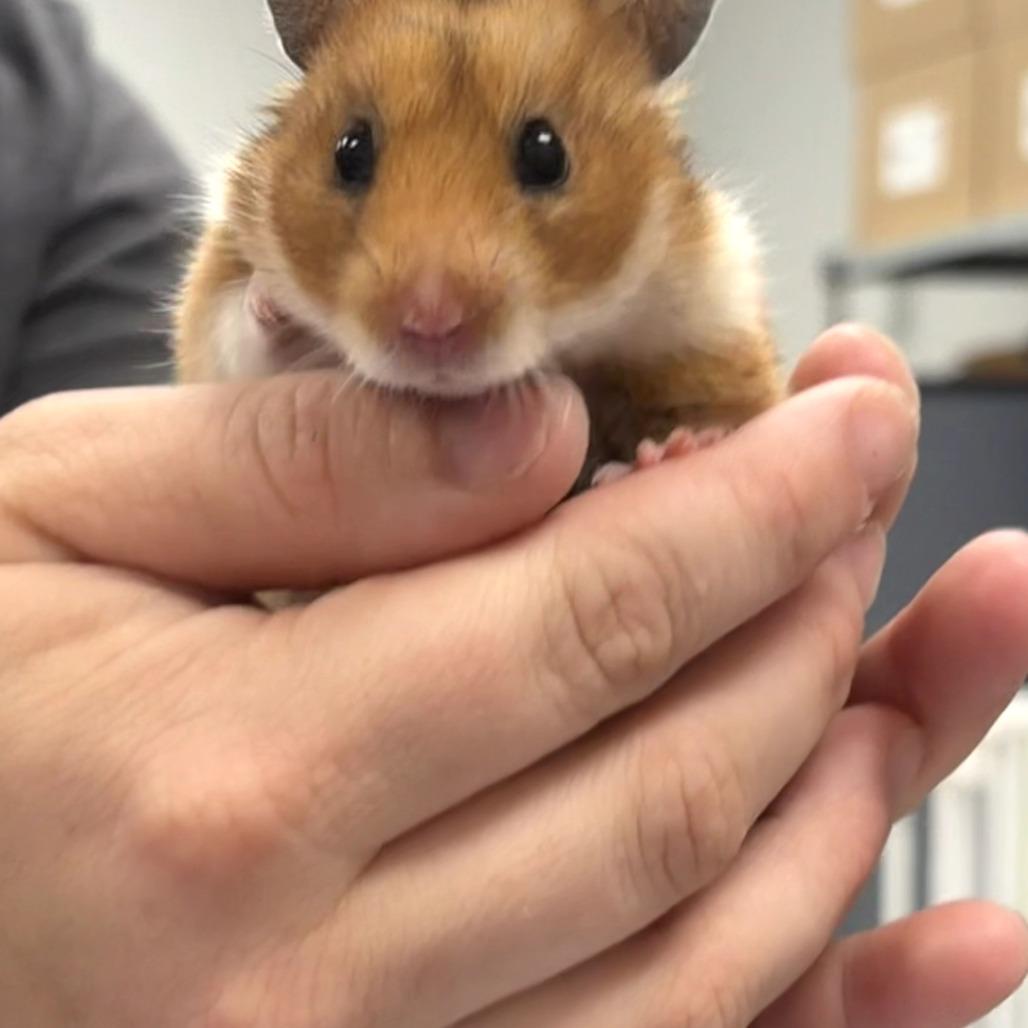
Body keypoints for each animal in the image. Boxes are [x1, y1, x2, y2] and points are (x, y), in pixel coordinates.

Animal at [175, 0, 783, 489]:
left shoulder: (709, 313)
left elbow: (722, 409)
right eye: (349, 150)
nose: (431, 322)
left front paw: (671, 450)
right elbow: (240, 330)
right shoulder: (213, 323)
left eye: (546, 152)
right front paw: (274, 303)